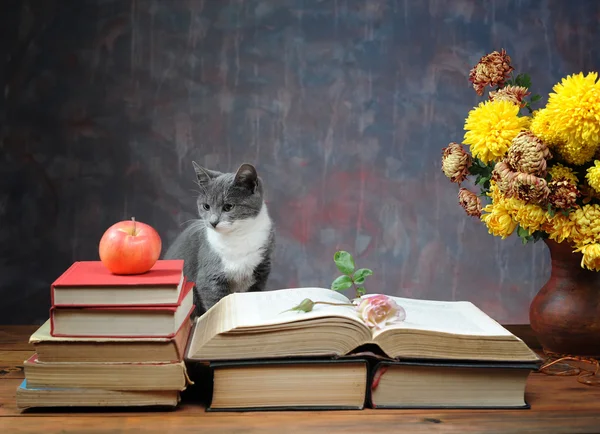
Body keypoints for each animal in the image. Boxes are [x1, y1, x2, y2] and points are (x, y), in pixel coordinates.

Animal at [165, 163, 276, 316]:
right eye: (206, 206)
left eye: (228, 207)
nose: (213, 222)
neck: (237, 236)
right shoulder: (209, 276)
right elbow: (215, 304)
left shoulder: (260, 272)